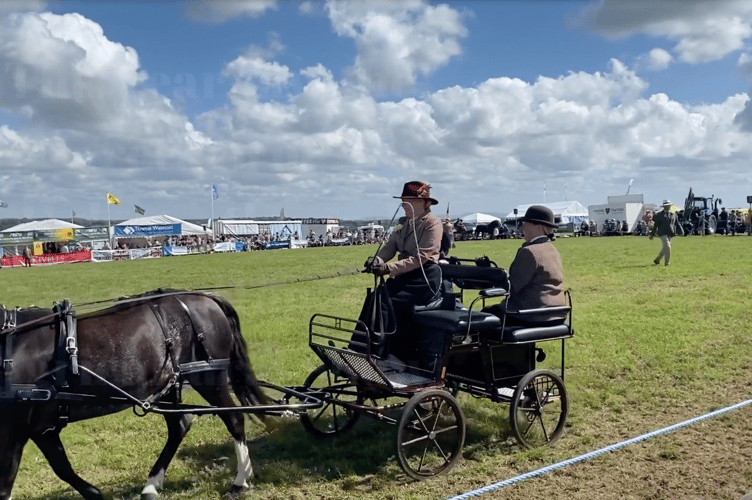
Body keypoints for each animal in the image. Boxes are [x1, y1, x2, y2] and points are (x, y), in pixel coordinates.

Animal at [0, 290, 268, 500]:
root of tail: (207, 298)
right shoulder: (41, 429)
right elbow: (62, 468)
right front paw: (95, 494)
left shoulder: (15, 430)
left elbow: (6, 484)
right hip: (167, 386)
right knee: (179, 425)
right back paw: (151, 485)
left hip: (209, 377)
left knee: (234, 419)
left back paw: (239, 481)